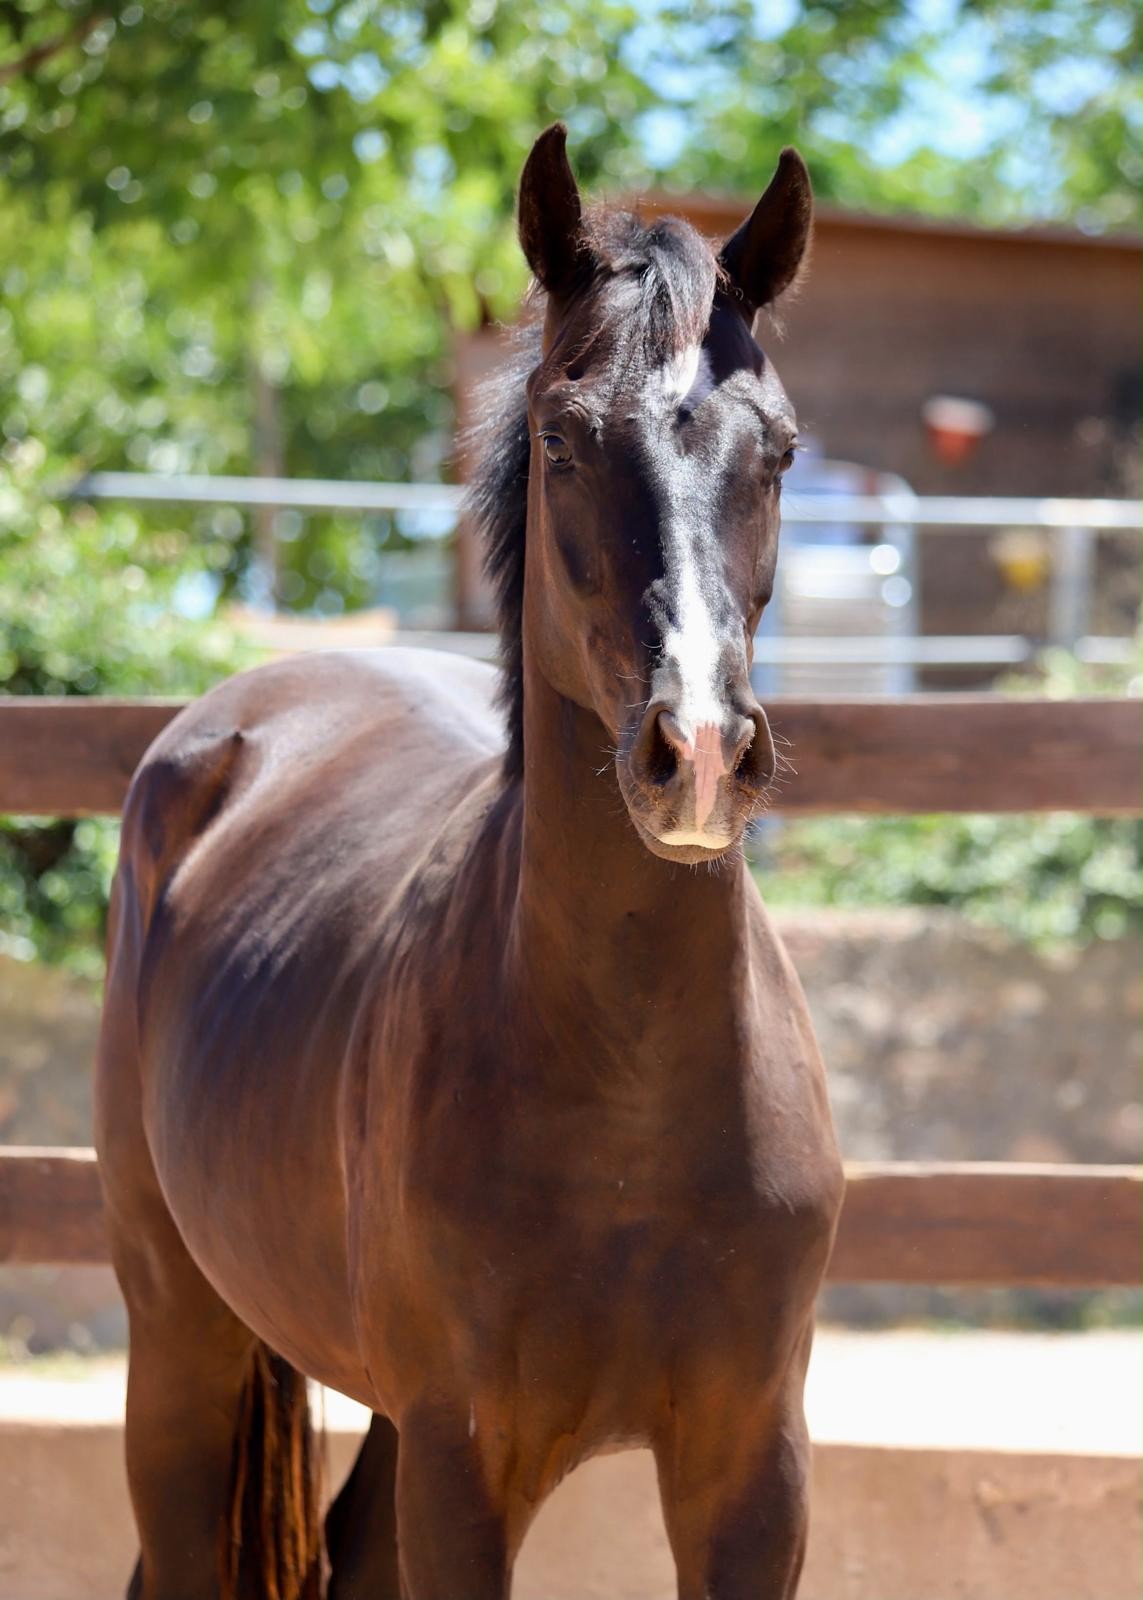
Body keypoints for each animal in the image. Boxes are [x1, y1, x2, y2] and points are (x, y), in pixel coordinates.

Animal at [95, 123, 843, 1600]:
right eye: (561, 436)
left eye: (778, 447)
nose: (699, 751)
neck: (627, 1087)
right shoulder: (465, 1463)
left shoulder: (752, 1471)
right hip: (179, 1339)